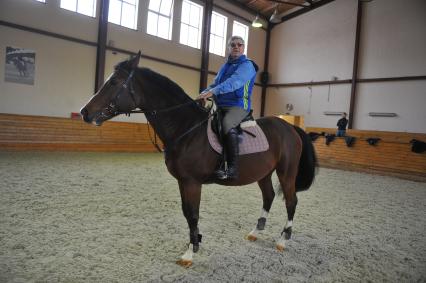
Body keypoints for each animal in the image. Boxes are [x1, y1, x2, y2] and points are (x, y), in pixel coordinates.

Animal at [80, 52, 316, 268]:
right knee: (268, 196)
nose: (84, 112)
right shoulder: (182, 181)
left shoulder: (192, 182)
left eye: (114, 82)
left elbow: (193, 214)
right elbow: (187, 213)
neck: (186, 128)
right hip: (264, 173)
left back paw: (283, 240)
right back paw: (255, 232)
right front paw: (195, 243)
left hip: (286, 172)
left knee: (291, 201)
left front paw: (189, 254)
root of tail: (290, 127)